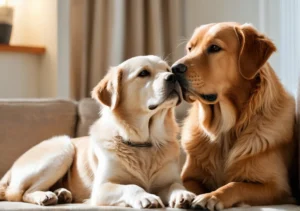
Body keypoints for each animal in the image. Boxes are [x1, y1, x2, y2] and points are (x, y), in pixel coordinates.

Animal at [0, 55, 195, 209]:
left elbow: (175, 186)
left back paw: (62, 193)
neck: (144, 142)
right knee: (22, 193)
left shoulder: (168, 181)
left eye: (167, 69)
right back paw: (45, 196)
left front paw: (183, 194)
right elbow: (131, 186)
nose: (173, 76)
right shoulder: (102, 188)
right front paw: (145, 197)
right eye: (143, 73)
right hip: (63, 147)